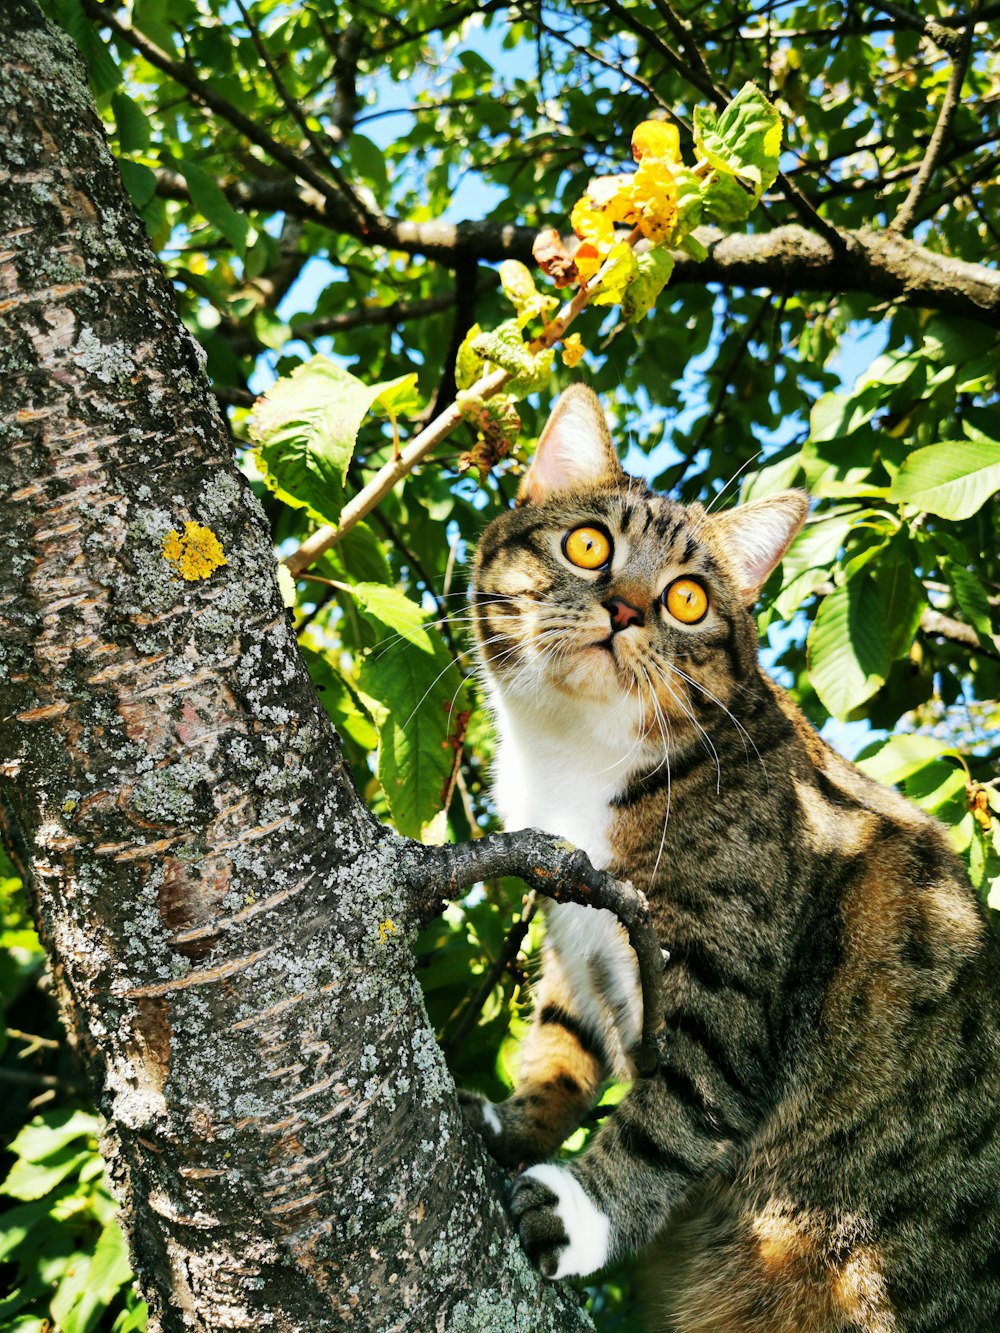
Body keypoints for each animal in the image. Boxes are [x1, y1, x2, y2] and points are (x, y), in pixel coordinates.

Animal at [466, 383, 1000, 1322]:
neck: (577, 767)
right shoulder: (575, 918)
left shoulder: (726, 972)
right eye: (588, 543)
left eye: (686, 599)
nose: (626, 609)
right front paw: (515, 1125)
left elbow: (679, 1109)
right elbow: (563, 1045)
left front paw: (582, 1208)